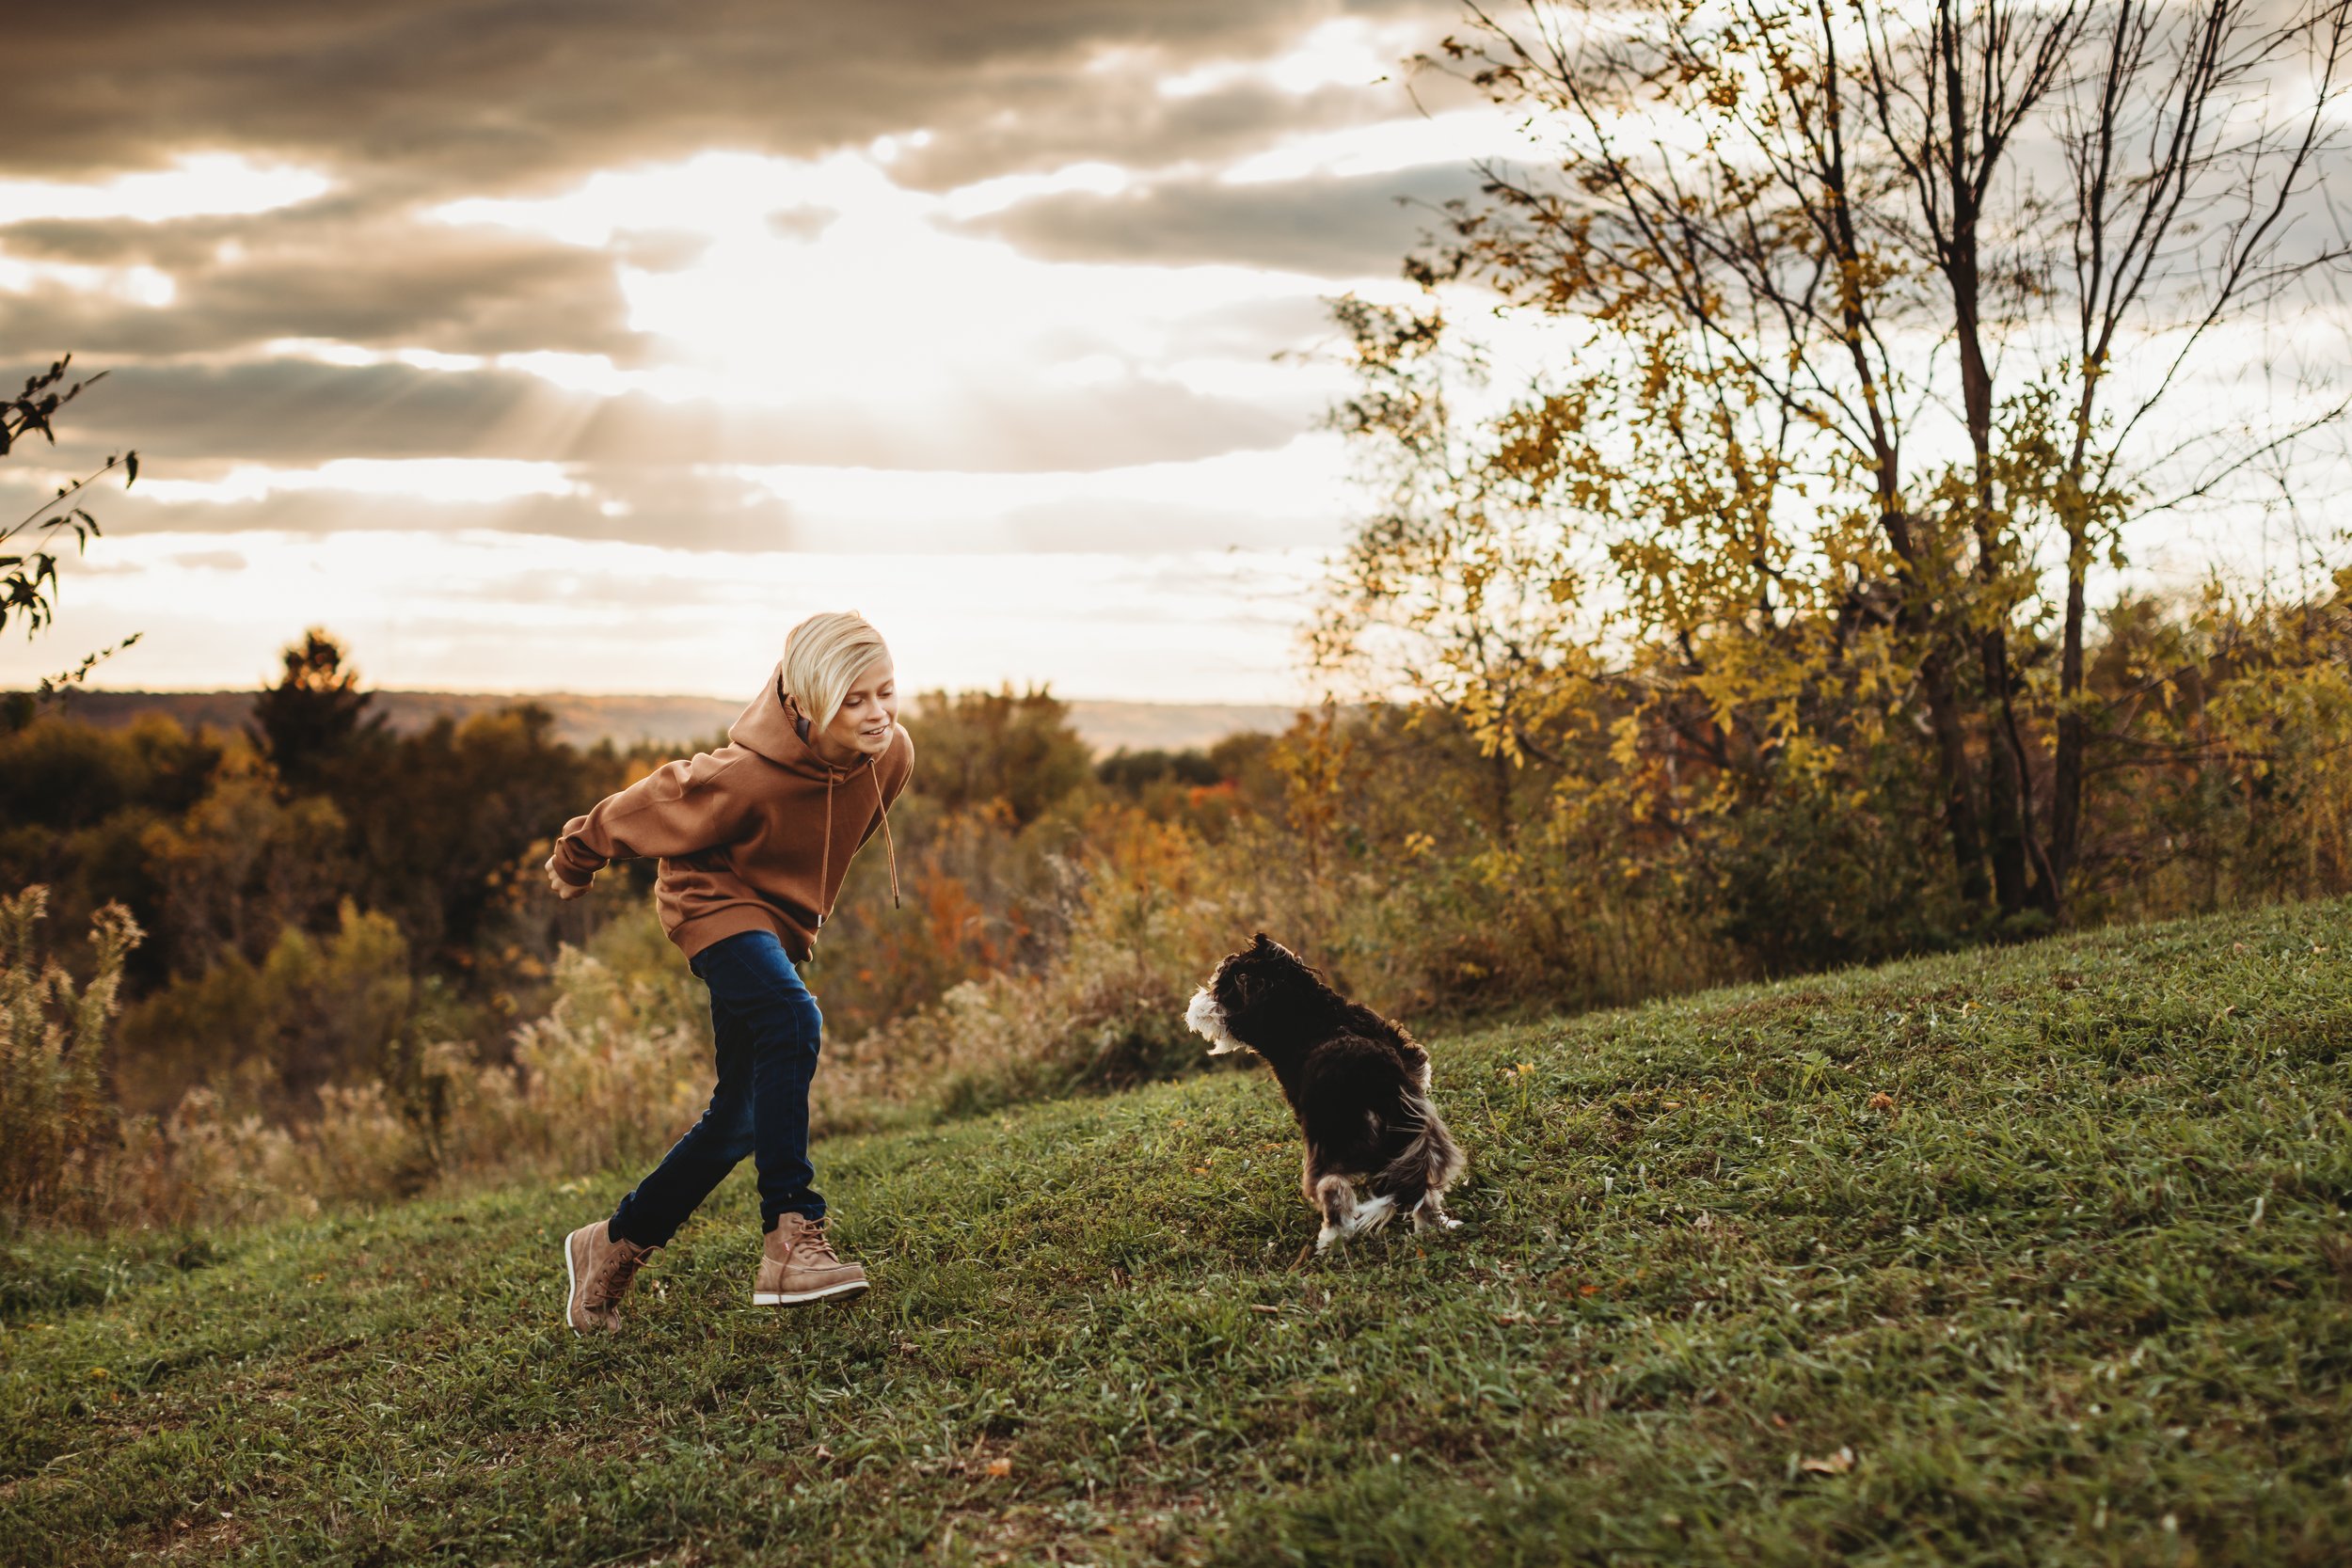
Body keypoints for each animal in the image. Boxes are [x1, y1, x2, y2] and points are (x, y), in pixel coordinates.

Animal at [1185, 930, 1458, 1250]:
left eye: (1223, 984)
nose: (1198, 1000)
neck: (1312, 1015)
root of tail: (1371, 1071)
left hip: (1329, 1140)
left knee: (1332, 1187)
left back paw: (1332, 1238)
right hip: (1410, 1130)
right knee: (1421, 1185)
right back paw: (1433, 1227)